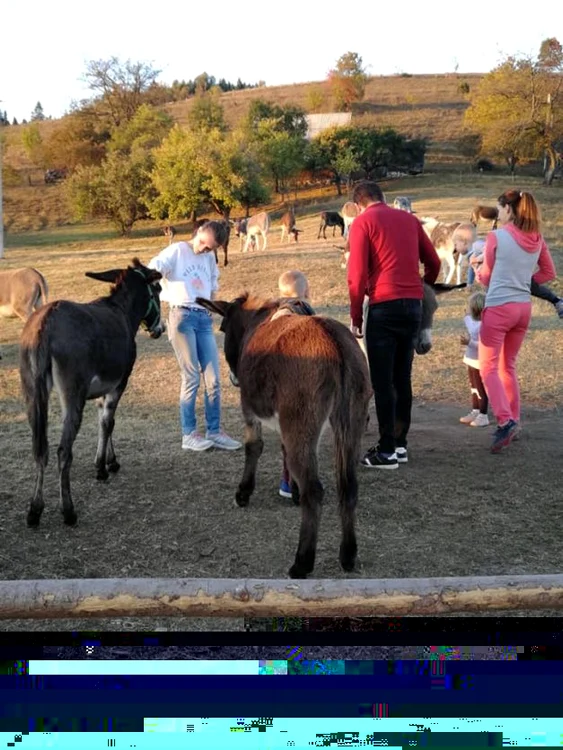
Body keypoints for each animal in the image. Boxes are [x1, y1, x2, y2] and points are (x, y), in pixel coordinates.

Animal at [19, 258, 164, 528]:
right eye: (158, 289)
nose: (159, 329)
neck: (121, 311)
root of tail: (47, 322)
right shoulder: (119, 384)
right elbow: (109, 422)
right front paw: (102, 468)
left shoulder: (101, 389)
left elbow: (103, 422)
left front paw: (109, 460)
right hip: (73, 395)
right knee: (63, 451)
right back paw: (68, 510)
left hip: (32, 393)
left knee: (40, 449)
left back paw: (35, 510)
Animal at [196, 294, 372, 580]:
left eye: (222, 328)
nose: (233, 378)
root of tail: (333, 341)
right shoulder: (287, 425)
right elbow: (285, 453)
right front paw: (293, 491)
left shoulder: (250, 409)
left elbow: (254, 447)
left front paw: (244, 492)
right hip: (350, 419)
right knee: (348, 486)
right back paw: (347, 554)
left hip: (302, 418)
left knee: (315, 491)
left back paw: (302, 562)